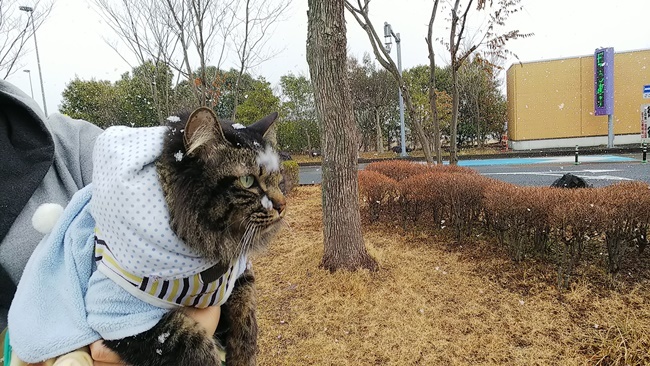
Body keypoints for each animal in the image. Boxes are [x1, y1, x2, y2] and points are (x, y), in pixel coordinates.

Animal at [102, 107, 284, 364]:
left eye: (277, 178)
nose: (282, 205)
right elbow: (192, 345)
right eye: (247, 181)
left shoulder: (239, 275)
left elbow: (246, 314)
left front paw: (244, 355)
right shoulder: (121, 318)